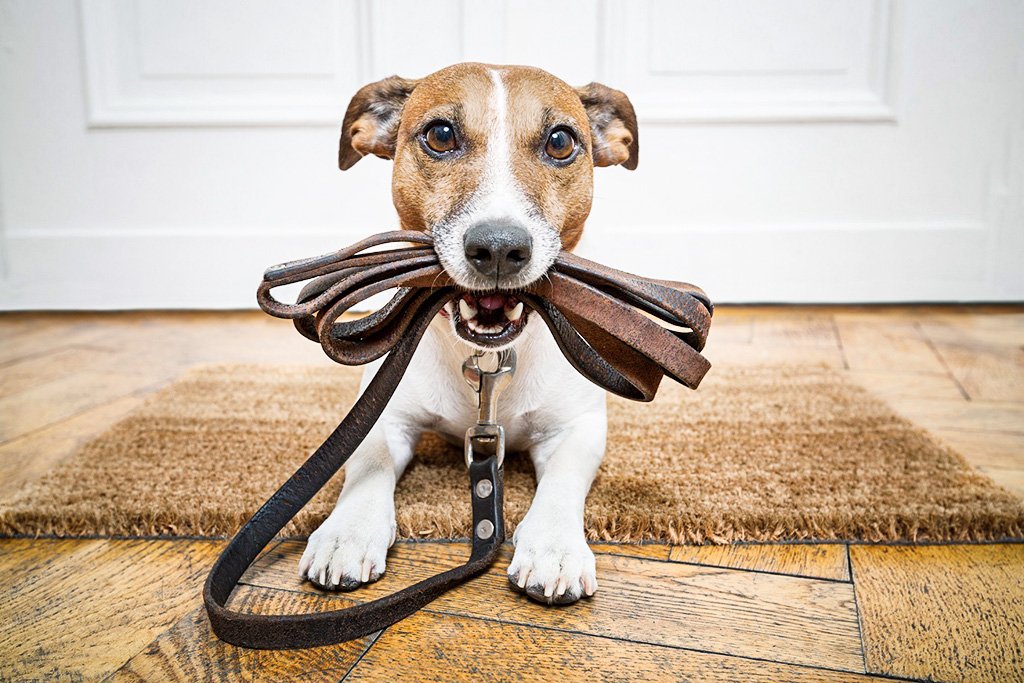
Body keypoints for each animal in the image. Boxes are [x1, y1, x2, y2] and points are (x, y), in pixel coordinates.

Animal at [299, 62, 638, 602]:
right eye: (441, 135)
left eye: (560, 141)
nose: (498, 247)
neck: (488, 359)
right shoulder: (383, 416)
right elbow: (368, 463)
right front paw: (346, 532)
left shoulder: (577, 428)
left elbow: (563, 480)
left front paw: (554, 547)